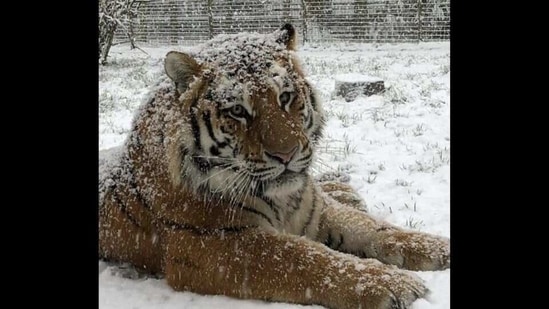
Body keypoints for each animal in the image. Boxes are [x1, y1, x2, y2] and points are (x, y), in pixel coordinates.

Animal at [99, 24, 450, 308]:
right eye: (238, 111)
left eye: (285, 97)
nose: (287, 155)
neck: (283, 199)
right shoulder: (211, 241)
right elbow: (302, 258)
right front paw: (390, 283)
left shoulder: (314, 208)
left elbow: (374, 228)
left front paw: (439, 247)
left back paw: (344, 189)